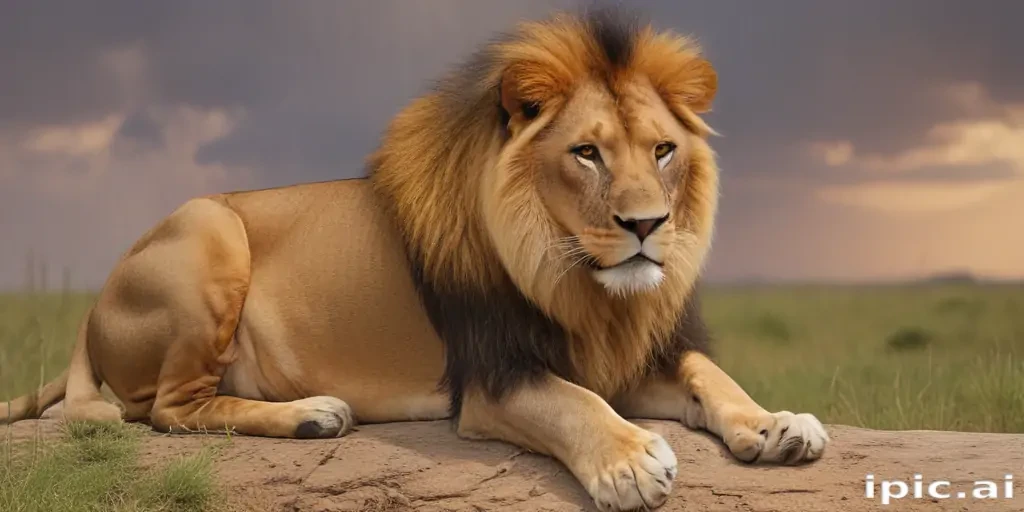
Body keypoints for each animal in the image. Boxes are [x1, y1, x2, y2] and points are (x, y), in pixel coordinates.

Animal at [2, 9, 828, 511]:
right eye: (587, 154)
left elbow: (708, 374)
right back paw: (315, 415)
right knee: (169, 411)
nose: (647, 225)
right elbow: (574, 403)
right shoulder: (493, 377)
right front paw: (628, 463)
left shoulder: (622, 353)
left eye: (662, 151)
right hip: (210, 229)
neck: (580, 282)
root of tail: (97, 302)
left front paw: (776, 424)